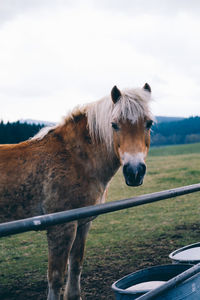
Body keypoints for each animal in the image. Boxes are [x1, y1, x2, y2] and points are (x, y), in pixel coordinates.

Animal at [0, 82, 153, 300]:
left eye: (149, 123)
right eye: (114, 125)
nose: (134, 171)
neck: (74, 158)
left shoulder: (83, 223)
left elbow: (76, 265)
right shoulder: (61, 227)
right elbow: (56, 277)